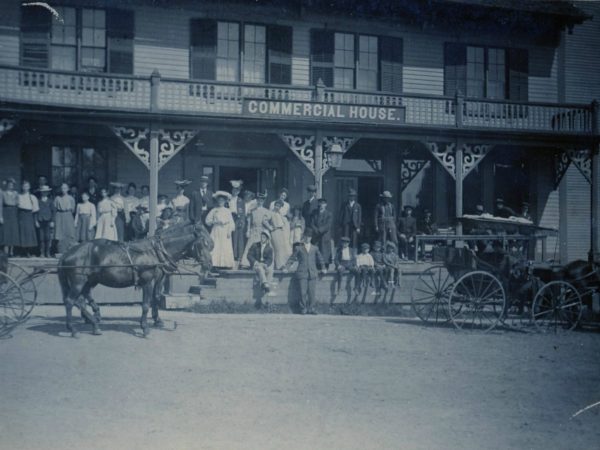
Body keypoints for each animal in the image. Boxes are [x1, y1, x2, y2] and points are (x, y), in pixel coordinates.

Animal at [56, 221, 214, 338]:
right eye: (204, 243)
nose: (209, 265)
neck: (155, 252)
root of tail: (67, 254)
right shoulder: (148, 282)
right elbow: (146, 304)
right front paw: (145, 328)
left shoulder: (157, 280)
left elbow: (155, 299)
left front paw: (157, 321)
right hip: (79, 281)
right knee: (71, 301)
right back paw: (75, 329)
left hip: (89, 281)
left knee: (81, 299)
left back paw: (94, 322)